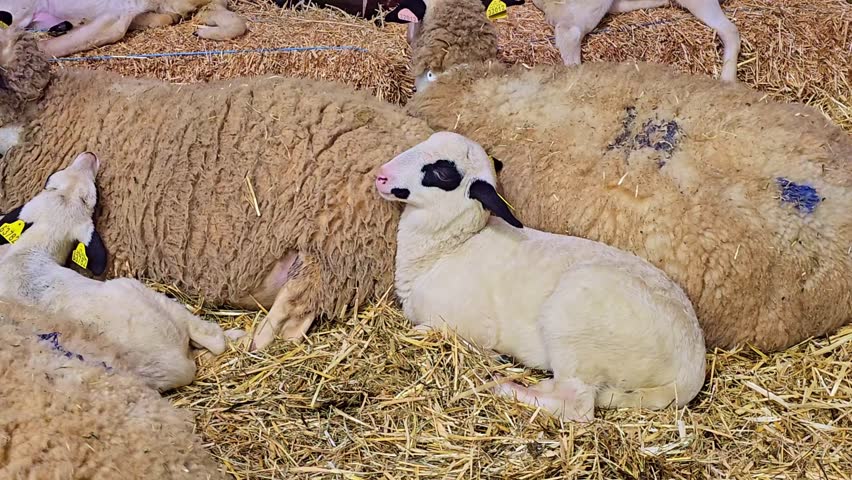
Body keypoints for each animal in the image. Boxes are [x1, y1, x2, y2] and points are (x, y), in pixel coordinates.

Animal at [0, 151, 240, 392]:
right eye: (94, 198)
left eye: (48, 180)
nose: (89, 155)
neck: (29, 251)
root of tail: (178, 363)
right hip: (142, 291)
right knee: (213, 337)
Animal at [375, 131, 707, 420]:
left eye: (443, 174)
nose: (381, 175)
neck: (445, 250)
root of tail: (691, 369)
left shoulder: (461, 325)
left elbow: (430, 332)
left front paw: (493, 358)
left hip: (575, 330)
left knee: (577, 406)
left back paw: (507, 388)